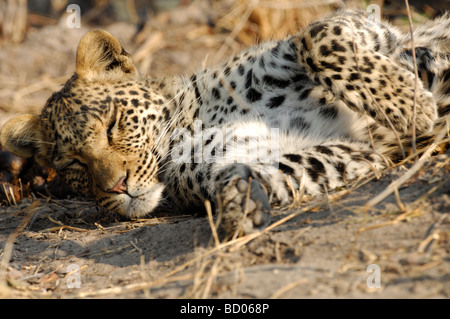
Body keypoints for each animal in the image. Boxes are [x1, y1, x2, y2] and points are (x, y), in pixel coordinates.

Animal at [0, 8, 450, 238]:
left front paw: (408, 104)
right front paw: (238, 205)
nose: (116, 187)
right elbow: (267, 171)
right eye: (74, 164)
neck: (195, 121)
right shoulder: (357, 153)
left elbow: (320, 35)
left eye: (113, 124)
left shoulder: (371, 29)